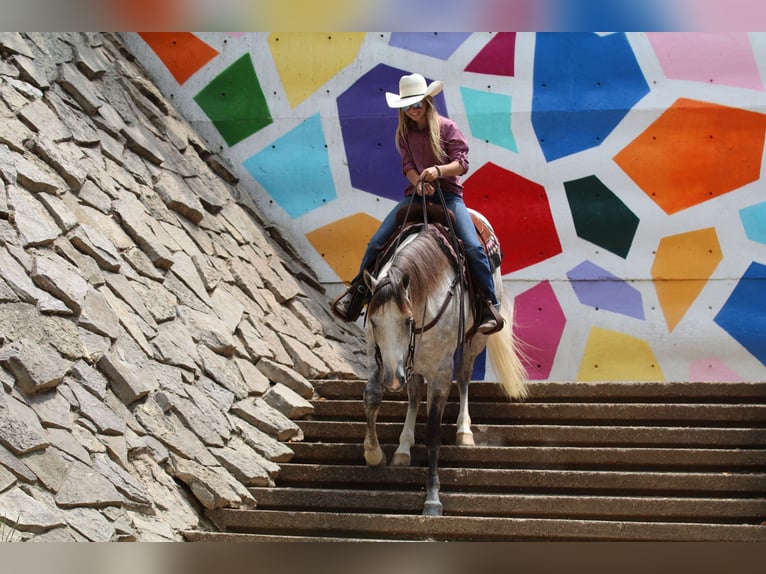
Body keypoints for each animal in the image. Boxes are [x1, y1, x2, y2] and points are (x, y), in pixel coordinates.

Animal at [360, 213, 528, 516]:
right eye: (375, 322)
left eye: (407, 321)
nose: (393, 379)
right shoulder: (378, 356)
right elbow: (372, 397)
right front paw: (374, 454)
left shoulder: (440, 371)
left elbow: (433, 431)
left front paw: (432, 498)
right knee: (415, 394)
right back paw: (403, 446)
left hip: (474, 341)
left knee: (463, 378)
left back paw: (464, 430)